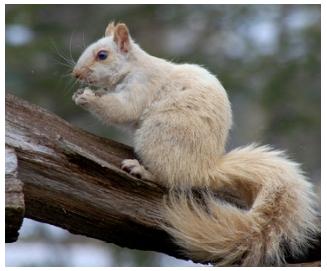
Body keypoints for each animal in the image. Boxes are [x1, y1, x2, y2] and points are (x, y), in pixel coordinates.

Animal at [72, 21, 320, 268]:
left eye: (102, 55)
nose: (76, 74)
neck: (133, 67)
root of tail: (203, 169)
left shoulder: (141, 86)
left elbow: (122, 109)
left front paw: (87, 98)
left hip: (158, 136)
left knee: (169, 178)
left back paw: (141, 170)